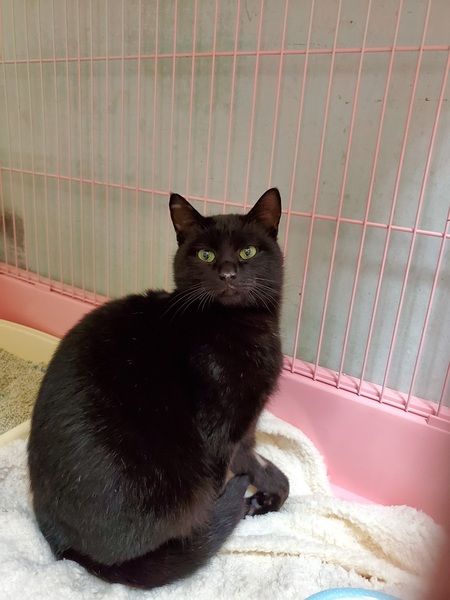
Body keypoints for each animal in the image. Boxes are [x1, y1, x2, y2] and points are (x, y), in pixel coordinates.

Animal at [28, 187, 289, 589]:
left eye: (248, 251)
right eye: (205, 254)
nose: (227, 273)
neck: (239, 327)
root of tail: (68, 550)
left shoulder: (244, 429)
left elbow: (270, 472)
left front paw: (266, 497)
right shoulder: (220, 433)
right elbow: (235, 476)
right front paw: (244, 504)